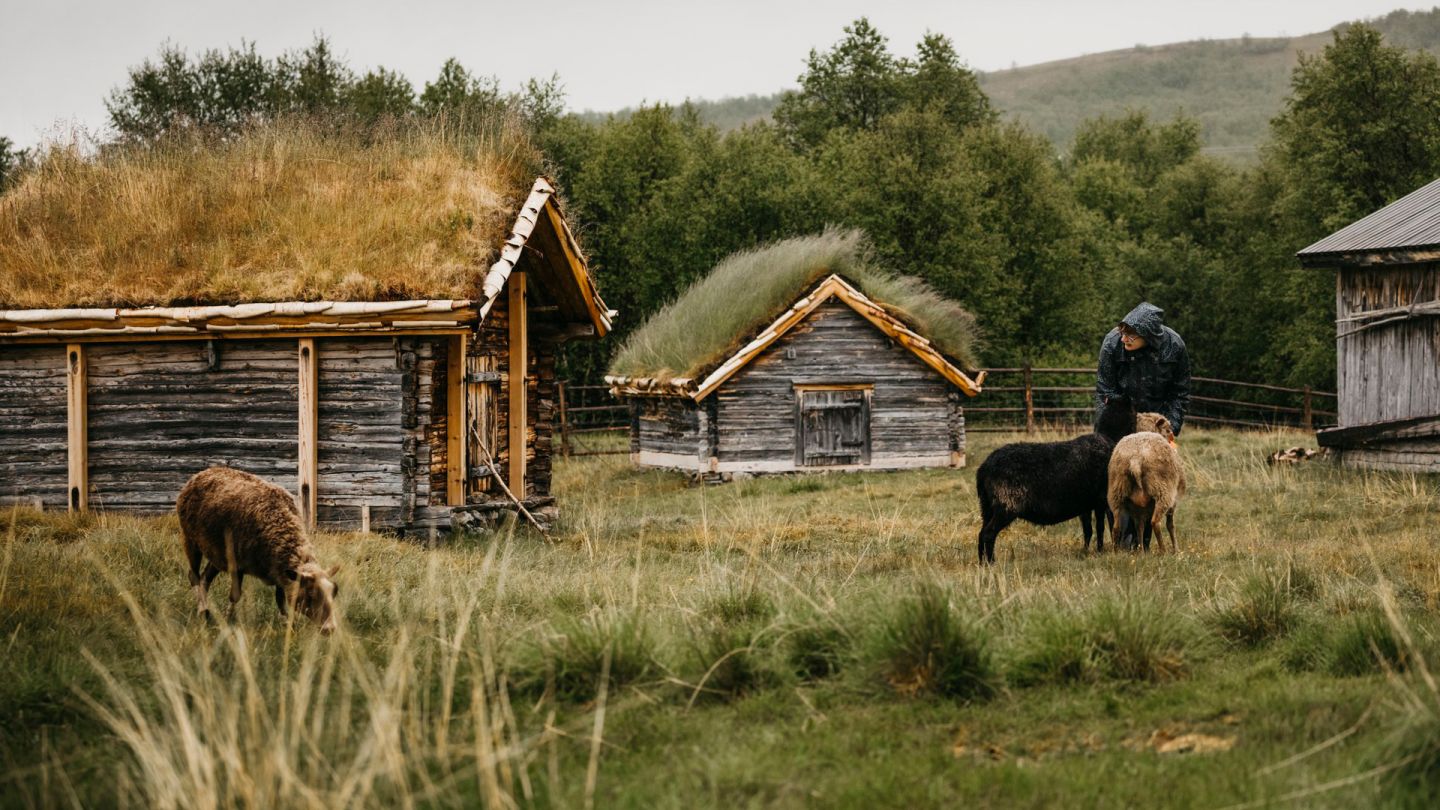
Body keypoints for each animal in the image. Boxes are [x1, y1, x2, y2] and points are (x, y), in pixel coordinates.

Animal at [175, 466, 338, 631]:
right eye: (310, 594)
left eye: (333, 592)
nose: (330, 628)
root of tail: (203, 472)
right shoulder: (236, 565)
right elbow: (235, 595)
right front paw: (227, 621)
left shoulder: (279, 571)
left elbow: (280, 600)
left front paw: (288, 626)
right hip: (190, 540)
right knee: (194, 576)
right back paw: (202, 611)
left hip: (216, 554)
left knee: (204, 579)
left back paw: (206, 612)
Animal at [973, 394, 1140, 562]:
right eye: (1134, 412)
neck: (1108, 437)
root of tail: (984, 468)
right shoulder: (1100, 500)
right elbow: (1100, 528)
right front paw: (1099, 551)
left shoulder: (1085, 504)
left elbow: (1088, 530)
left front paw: (1086, 551)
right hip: (1006, 504)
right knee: (988, 534)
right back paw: (991, 562)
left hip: (987, 506)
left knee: (981, 533)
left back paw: (982, 562)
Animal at [1105, 412, 1186, 550]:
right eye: (1167, 430)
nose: (1172, 440)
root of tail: (1135, 459)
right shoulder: (1173, 501)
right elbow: (1170, 525)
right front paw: (1176, 550)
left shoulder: (1138, 508)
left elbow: (1140, 527)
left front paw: (1141, 550)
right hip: (1163, 492)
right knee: (1155, 523)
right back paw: (1163, 551)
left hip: (1117, 494)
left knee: (1117, 527)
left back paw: (1118, 551)